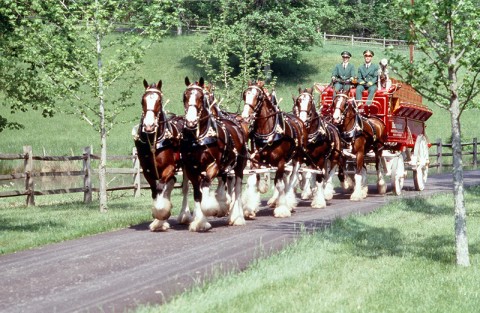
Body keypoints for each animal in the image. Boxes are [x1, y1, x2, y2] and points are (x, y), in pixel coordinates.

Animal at [133, 79, 191, 230]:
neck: (154, 141)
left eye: (159, 100)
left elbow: (160, 188)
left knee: (184, 188)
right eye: (142, 100)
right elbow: (155, 190)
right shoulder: (147, 171)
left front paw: (161, 214)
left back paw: (185, 216)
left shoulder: (168, 167)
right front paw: (159, 220)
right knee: (171, 184)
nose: (148, 125)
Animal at [180, 77, 248, 230]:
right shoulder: (191, 169)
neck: (199, 138)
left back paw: (237, 217)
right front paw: (199, 222)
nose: (191, 121)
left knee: (238, 189)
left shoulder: (214, 165)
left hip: (239, 166)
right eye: (185, 96)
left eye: (201, 97)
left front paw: (211, 208)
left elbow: (206, 183)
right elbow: (197, 194)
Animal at [242, 80, 306, 217]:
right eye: (245, 95)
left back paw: (288, 202)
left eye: (258, 97)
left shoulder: (280, 162)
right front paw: (249, 209)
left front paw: (282, 209)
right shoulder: (256, 162)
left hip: (296, 158)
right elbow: (254, 183)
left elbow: (279, 185)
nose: (245, 115)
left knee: (291, 180)